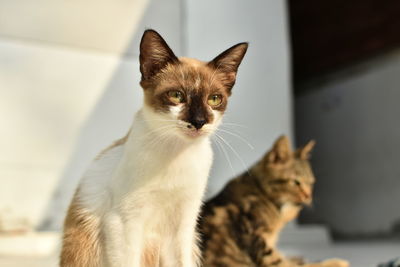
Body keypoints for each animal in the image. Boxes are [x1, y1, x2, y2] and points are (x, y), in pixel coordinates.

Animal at [59, 29, 247, 267]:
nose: (198, 122)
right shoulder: (123, 223)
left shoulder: (183, 227)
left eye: (214, 99)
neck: (176, 153)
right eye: (176, 96)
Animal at [198, 137, 348, 266]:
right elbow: (286, 264)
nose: (308, 196)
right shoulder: (255, 236)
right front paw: (332, 263)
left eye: (311, 183)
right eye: (296, 182)